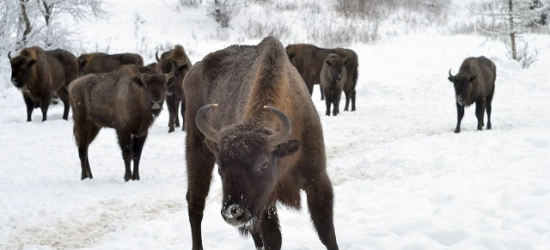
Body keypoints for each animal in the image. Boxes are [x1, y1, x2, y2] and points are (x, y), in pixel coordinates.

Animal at [185, 36, 340, 249]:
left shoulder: (317, 180)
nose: (233, 213)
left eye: (262, 164)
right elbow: (273, 239)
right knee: (195, 202)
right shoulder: (266, 201)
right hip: (196, 148)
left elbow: (327, 233)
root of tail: (192, 72)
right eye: (221, 167)